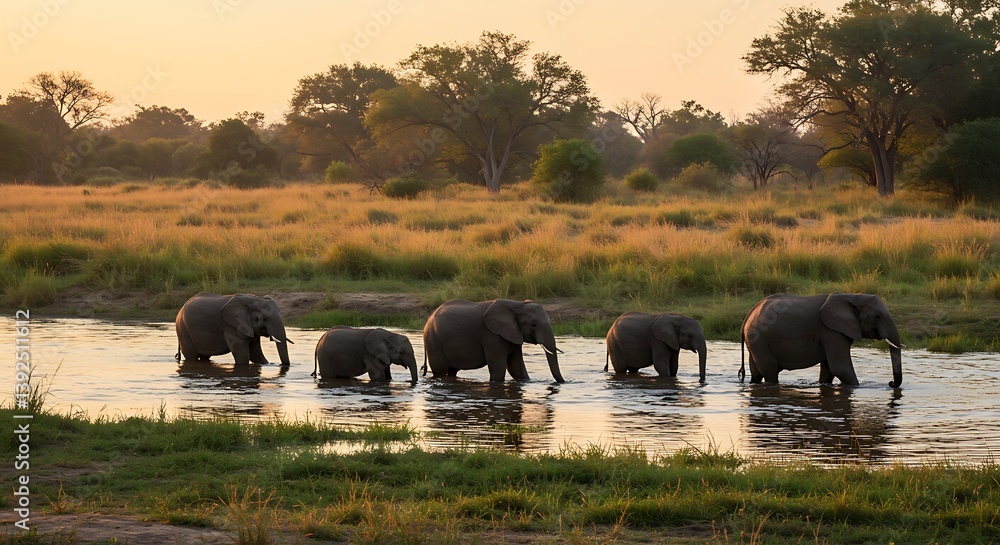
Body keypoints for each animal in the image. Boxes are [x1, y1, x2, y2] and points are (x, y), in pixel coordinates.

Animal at [422, 299, 565, 383]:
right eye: (533, 324)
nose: (564, 382)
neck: (517, 305)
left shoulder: (513, 333)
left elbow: (516, 368)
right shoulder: (491, 335)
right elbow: (498, 368)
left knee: (452, 371)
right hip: (433, 340)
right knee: (440, 370)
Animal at [740, 293, 902, 387]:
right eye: (877, 317)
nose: (891, 383)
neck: (854, 297)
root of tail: (748, 315)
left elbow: (829, 370)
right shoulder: (831, 331)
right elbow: (840, 368)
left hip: (756, 341)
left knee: (756, 373)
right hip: (760, 340)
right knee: (770, 372)